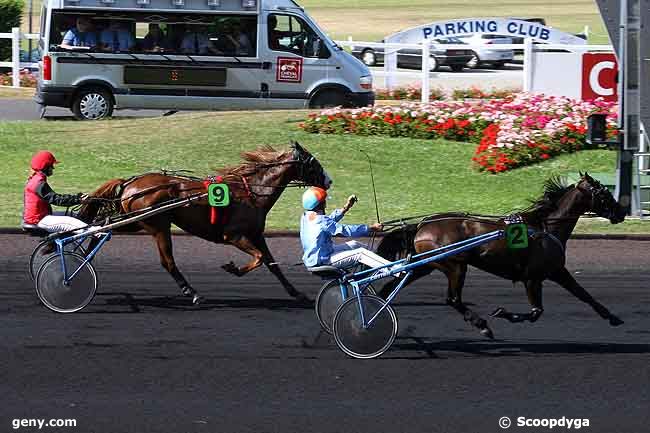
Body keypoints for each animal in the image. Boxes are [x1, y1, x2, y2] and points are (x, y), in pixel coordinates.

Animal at [77, 142, 330, 304]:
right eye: (314, 163)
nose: (329, 180)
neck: (252, 191)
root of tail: (130, 183)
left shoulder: (256, 235)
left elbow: (272, 264)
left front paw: (296, 293)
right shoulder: (234, 235)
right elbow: (258, 258)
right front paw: (233, 268)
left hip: (135, 221)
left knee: (100, 230)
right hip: (157, 225)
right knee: (167, 261)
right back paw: (192, 292)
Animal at [378, 174, 624, 340]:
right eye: (604, 193)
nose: (621, 212)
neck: (544, 227)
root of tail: (422, 225)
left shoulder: (556, 271)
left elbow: (584, 294)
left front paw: (613, 317)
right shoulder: (532, 278)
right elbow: (536, 312)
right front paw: (503, 313)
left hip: (426, 265)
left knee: (390, 288)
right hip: (455, 265)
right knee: (453, 299)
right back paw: (482, 325)